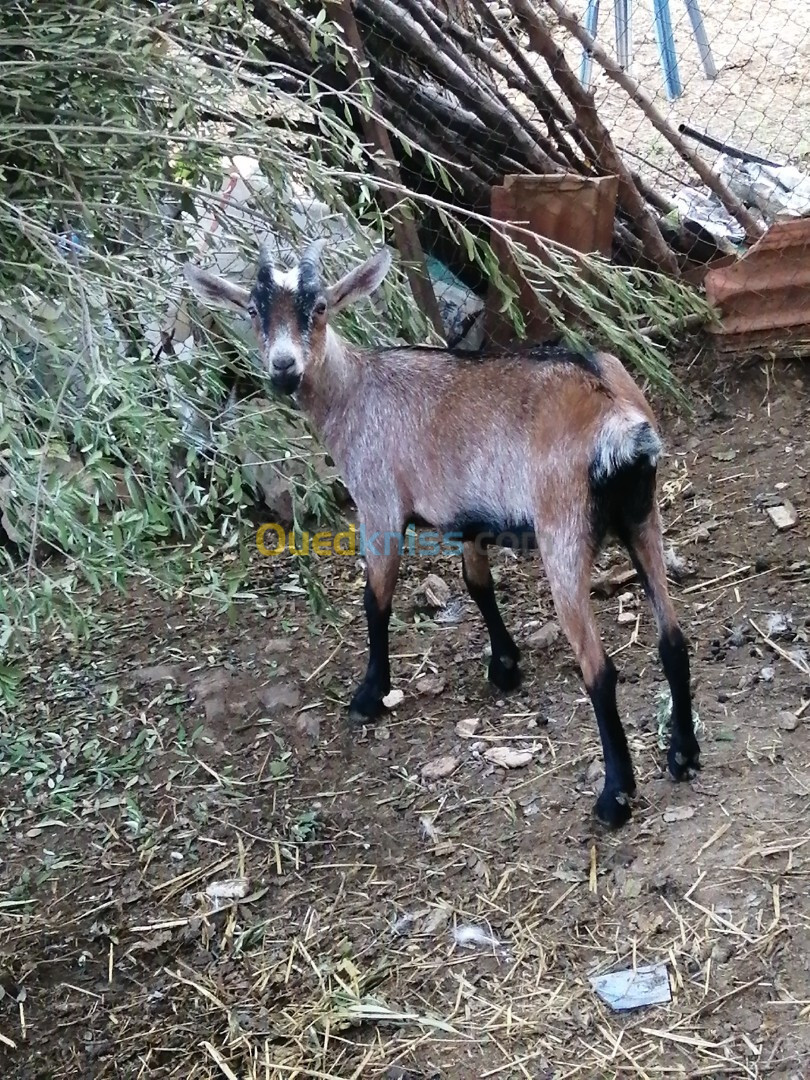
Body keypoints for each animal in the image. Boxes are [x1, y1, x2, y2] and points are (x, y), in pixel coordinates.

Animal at [182, 238, 699, 825]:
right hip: (643, 516)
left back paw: (614, 796)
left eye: (319, 307)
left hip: (562, 531)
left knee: (600, 669)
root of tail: (615, 415)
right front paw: (504, 667)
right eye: (253, 310)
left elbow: (376, 599)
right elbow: (477, 584)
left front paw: (370, 694)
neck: (355, 391)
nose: (284, 367)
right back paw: (683, 755)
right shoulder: (468, 515)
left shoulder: (380, 504)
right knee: (672, 638)